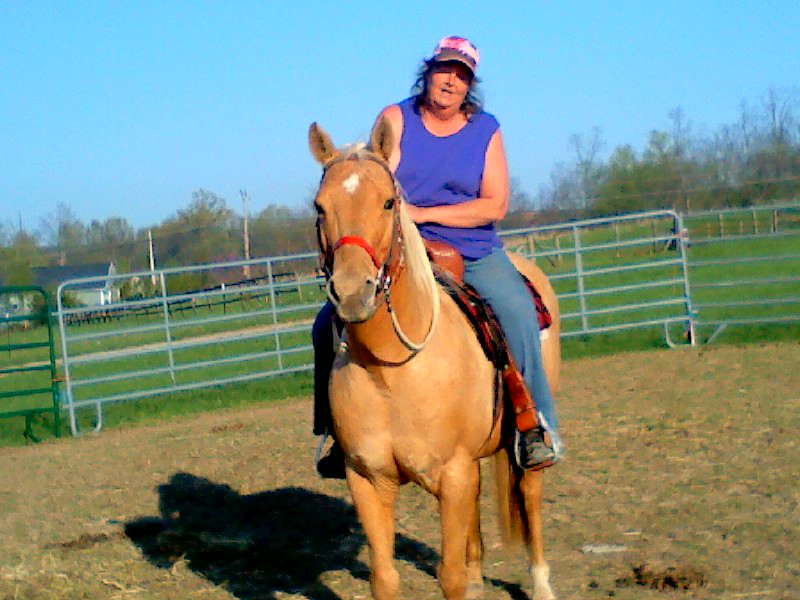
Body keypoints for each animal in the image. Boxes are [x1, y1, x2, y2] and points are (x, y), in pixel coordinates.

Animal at [308, 117, 561, 600]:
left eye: (389, 202)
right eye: (319, 207)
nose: (351, 293)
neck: (390, 371)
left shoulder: (452, 474)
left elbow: (450, 576)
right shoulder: (367, 479)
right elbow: (385, 578)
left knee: (533, 494)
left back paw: (541, 583)